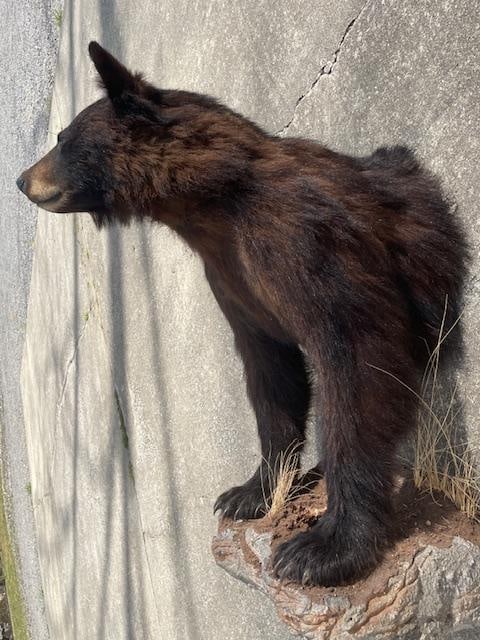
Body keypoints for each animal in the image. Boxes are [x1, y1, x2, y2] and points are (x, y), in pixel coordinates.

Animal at [17, 42, 467, 587]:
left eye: (62, 139)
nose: (22, 179)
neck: (209, 206)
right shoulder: (232, 280)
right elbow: (270, 375)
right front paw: (248, 493)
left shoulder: (303, 242)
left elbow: (357, 357)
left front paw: (322, 547)